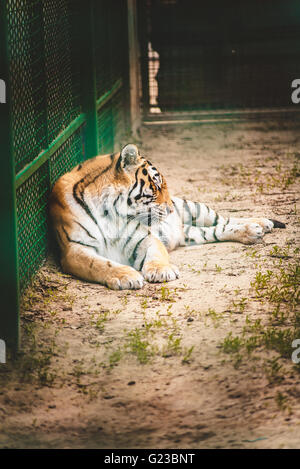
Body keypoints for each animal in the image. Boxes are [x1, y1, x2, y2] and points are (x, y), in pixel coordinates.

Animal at [49, 143, 286, 288]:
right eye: (156, 185)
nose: (171, 209)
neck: (110, 212)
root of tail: (180, 228)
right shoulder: (73, 250)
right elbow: (99, 265)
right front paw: (126, 276)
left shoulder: (143, 236)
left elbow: (156, 253)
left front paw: (161, 271)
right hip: (193, 234)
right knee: (216, 231)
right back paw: (253, 232)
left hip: (196, 208)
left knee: (224, 220)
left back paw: (259, 224)